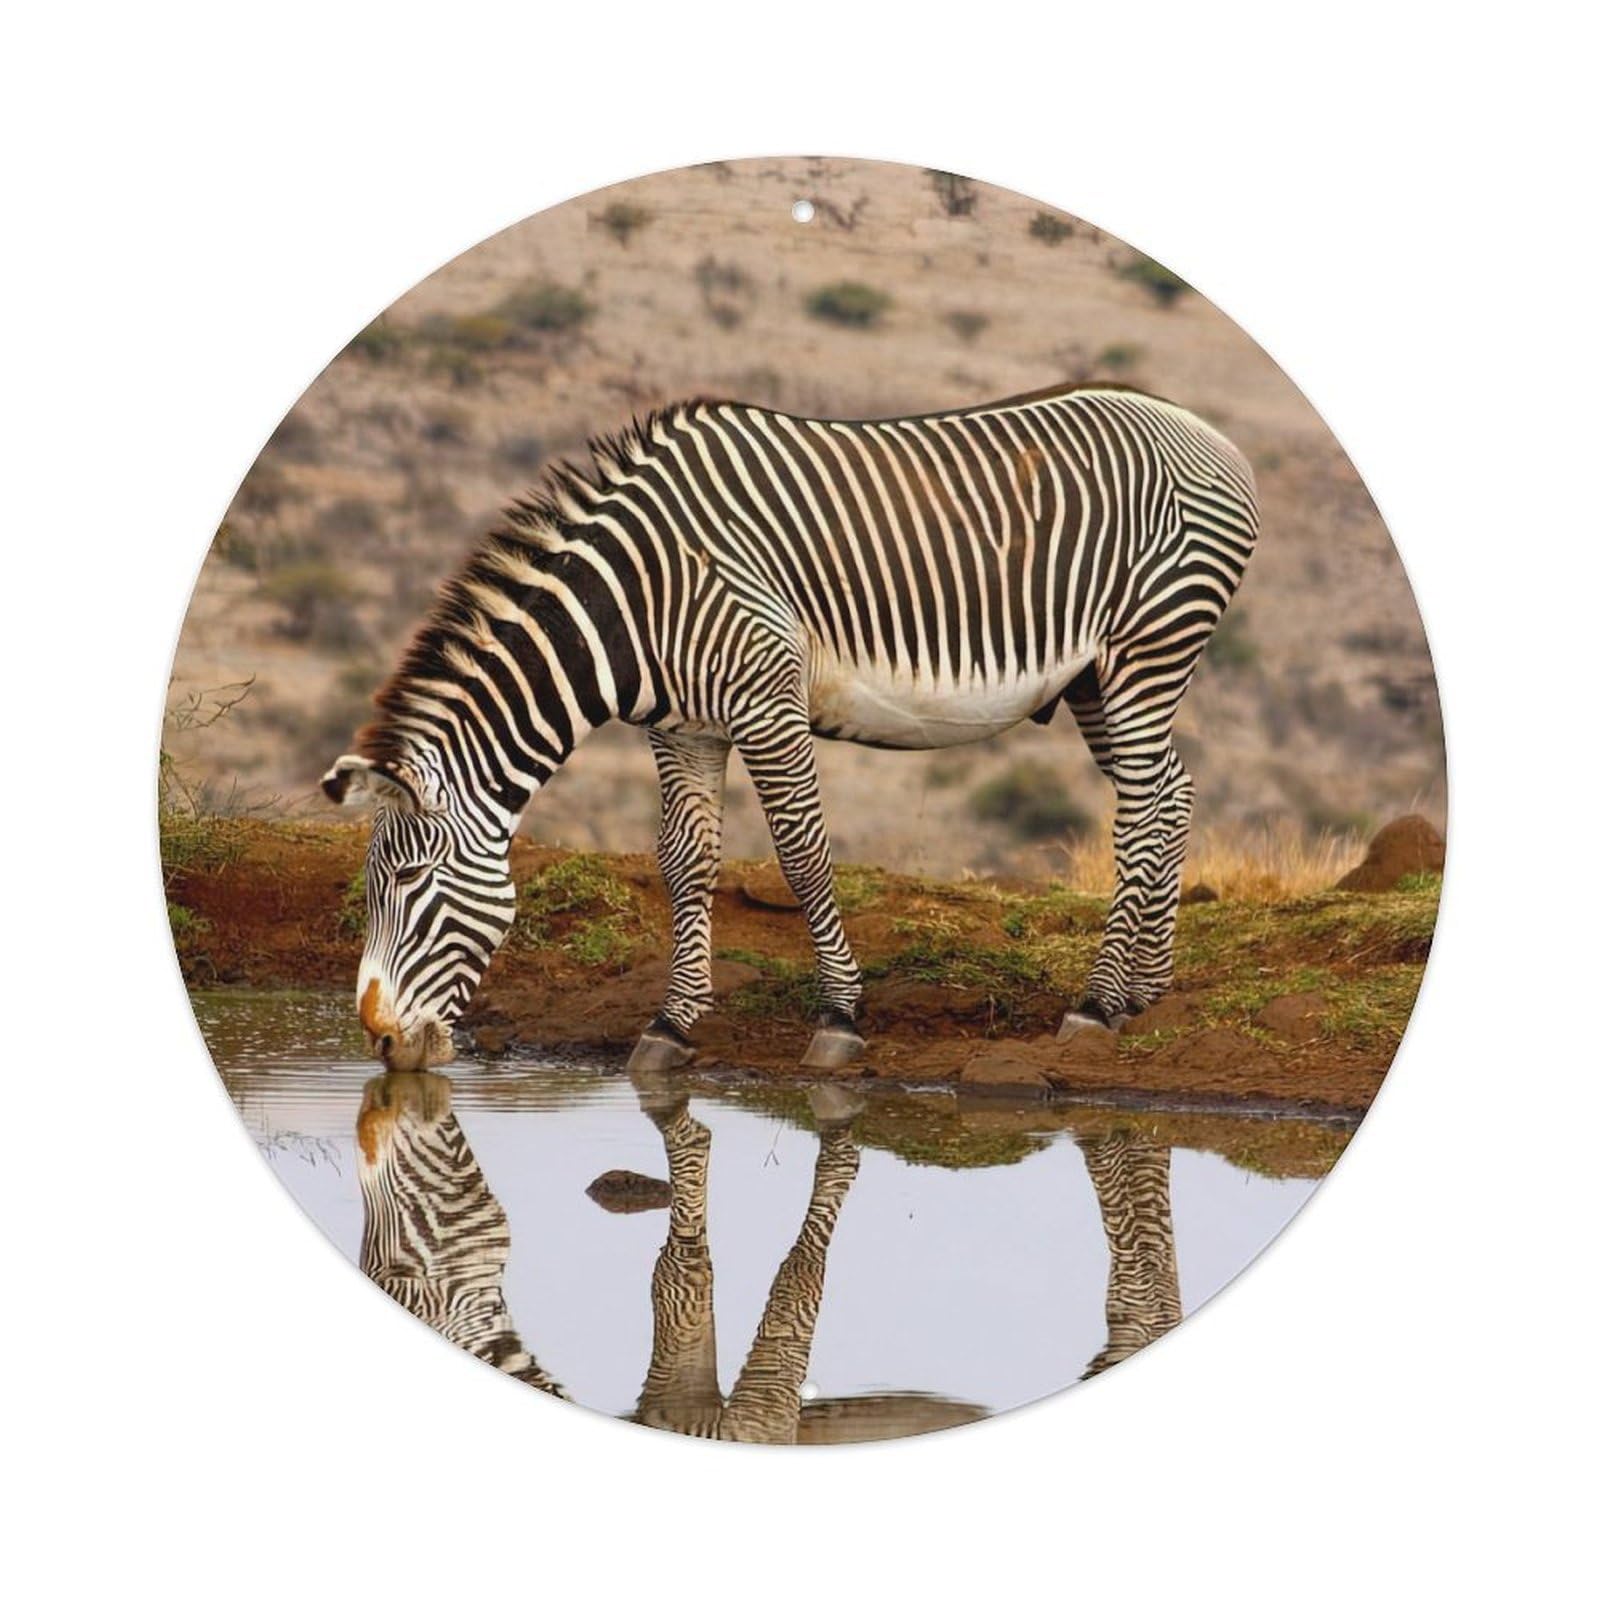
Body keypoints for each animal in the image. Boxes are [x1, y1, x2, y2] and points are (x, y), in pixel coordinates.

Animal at [321, 383, 1258, 1070]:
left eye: (407, 882)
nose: (381, 1041)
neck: (639, 595)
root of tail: (1206, 432)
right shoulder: (685, 728)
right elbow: (684, 864)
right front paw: (670, 1026)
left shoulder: (768, 705)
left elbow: (803, 857)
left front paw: (840, 1018)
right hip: (1098, 678)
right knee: (1171, 794)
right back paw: (1146, 992)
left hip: (1148, 649)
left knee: (1140, 813)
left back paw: (1096, 1004)